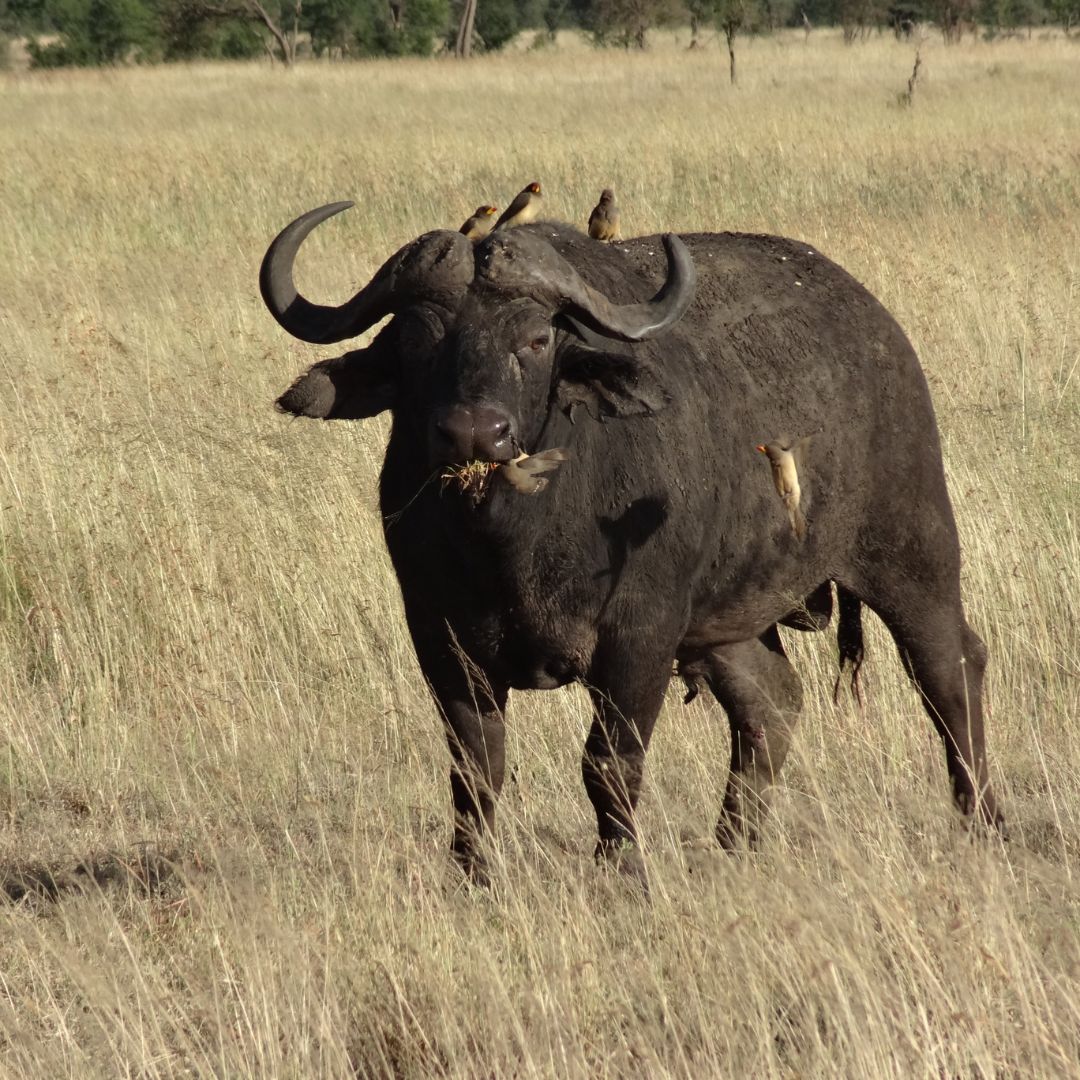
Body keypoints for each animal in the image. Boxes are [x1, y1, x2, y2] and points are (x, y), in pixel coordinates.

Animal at [260, 201, 1003, 882]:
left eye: (536, 339)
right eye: (416, 338)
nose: (475, 434)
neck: (512, 541)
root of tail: (877, 327)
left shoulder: (640, 635)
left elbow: (609, 763)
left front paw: (620, 871)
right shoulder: (441, 637)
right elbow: (476, 766)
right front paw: (472, 875)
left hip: (910, 549)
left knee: (949, 669)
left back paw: (981, 818)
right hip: (727, 620)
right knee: (773, 701)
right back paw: (732, 844)